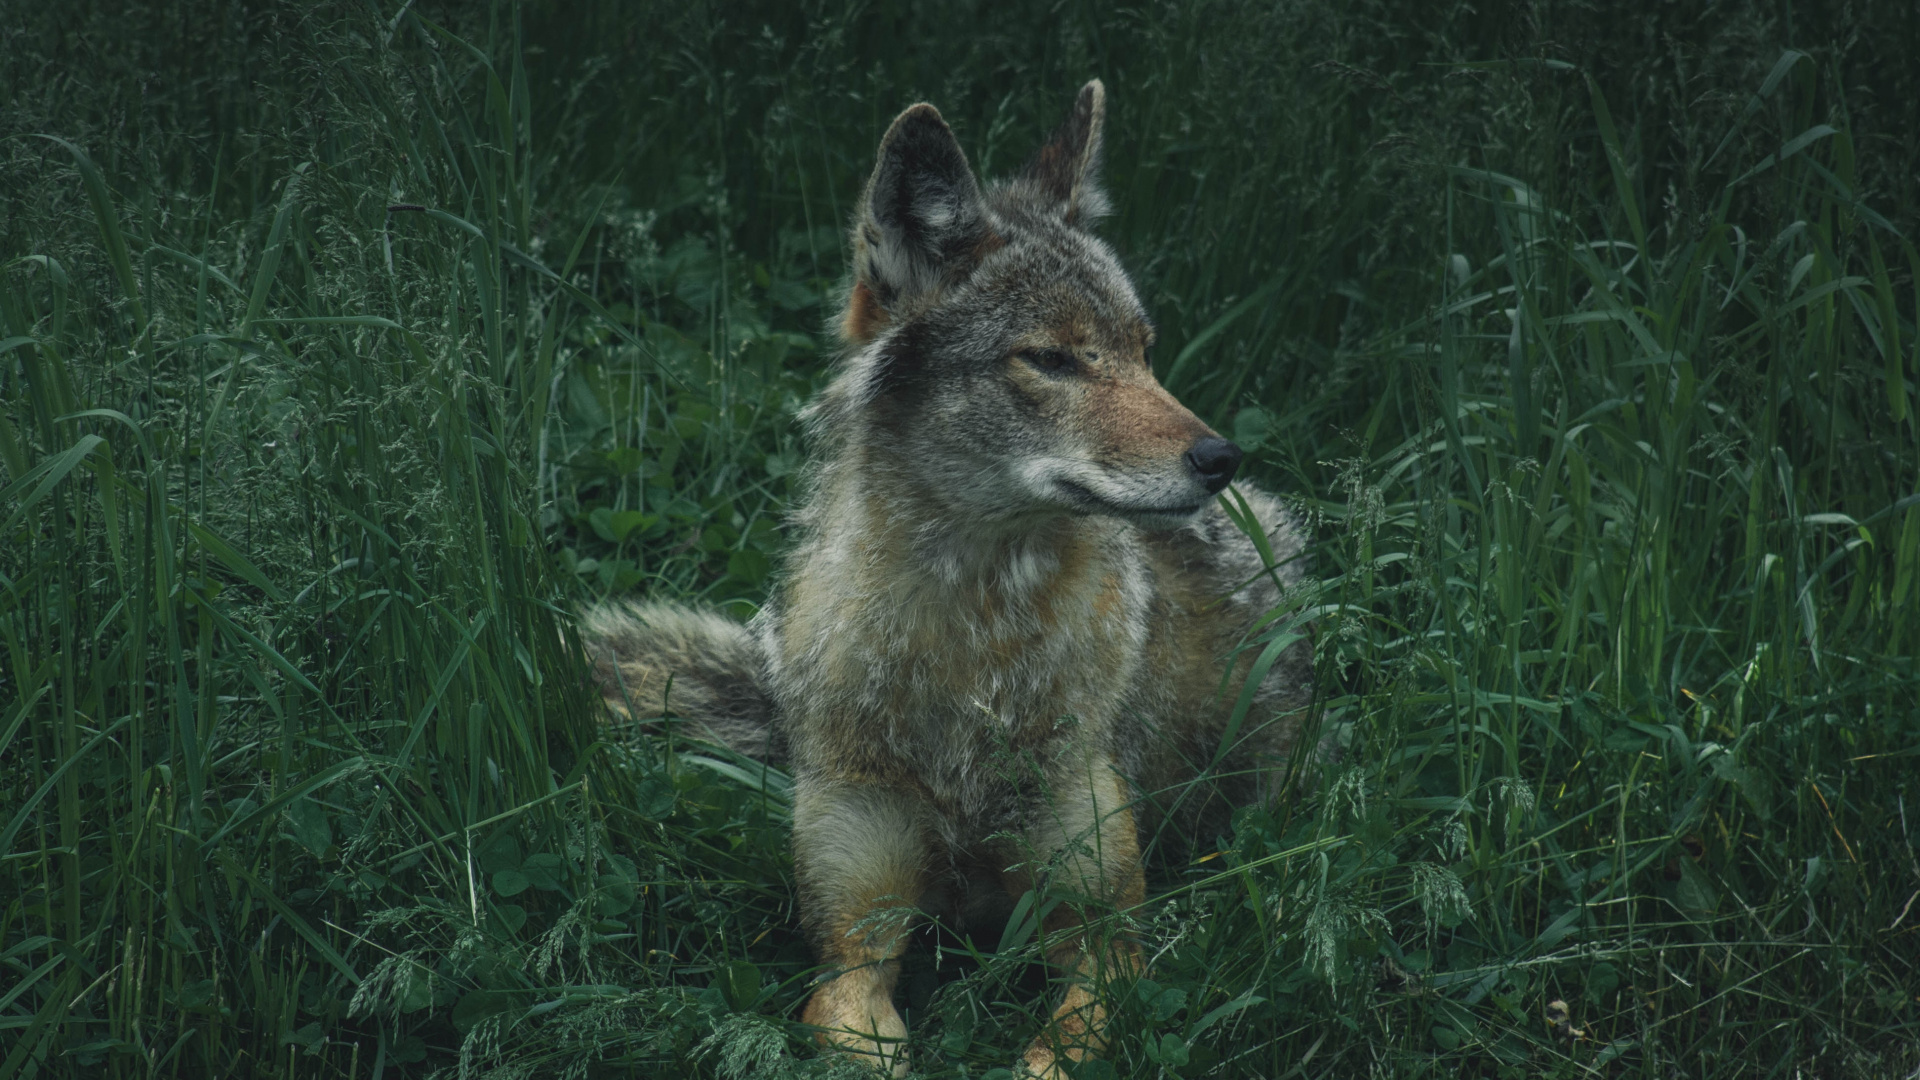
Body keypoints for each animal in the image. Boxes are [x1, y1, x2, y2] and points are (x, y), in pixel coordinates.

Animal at [584, 80, 1313, 1078]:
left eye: (1144, 350)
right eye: (1051, 359)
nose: (1220, 459)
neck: (975, 654)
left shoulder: (1106, 940)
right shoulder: (852, 947)